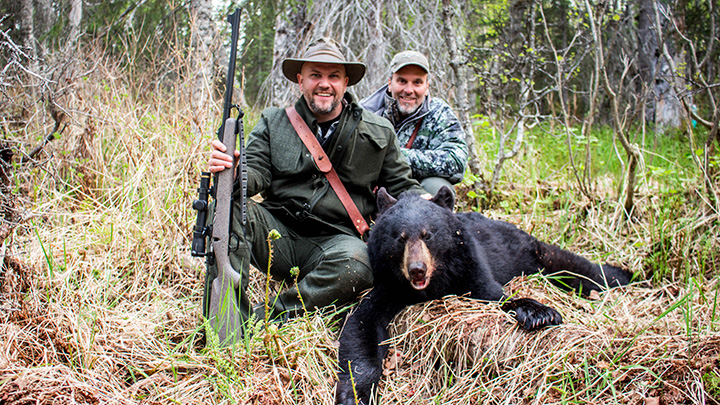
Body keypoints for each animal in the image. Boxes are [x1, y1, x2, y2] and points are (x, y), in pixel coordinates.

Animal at [334, 186, 632, 404]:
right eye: (400, 237)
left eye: (428, 235)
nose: (417, 269)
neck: (433, 284)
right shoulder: (388, 284)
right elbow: (360, 327)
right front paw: (354, 394)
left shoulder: (467, 265)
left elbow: (494, 295)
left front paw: (539, 313)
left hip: (530, 251)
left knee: (574, 267)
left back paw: (624, 274)